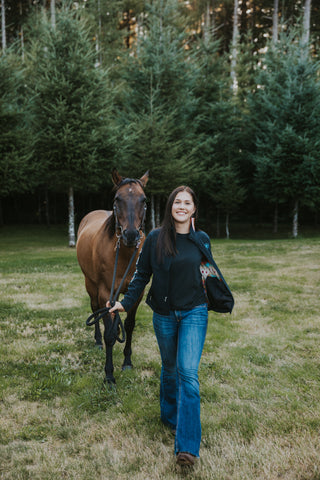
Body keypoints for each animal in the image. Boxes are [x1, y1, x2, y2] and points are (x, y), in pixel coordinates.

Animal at [76, 169, 149, 382]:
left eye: (144, 199)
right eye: (118, 199)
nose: (131, 235)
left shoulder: (137, 293)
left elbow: (130, 325)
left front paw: (127, 362)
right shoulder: (104, 293)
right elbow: (108, 332)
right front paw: (109, 376)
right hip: (90, 284)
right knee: (95, 310)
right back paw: (98, 342)